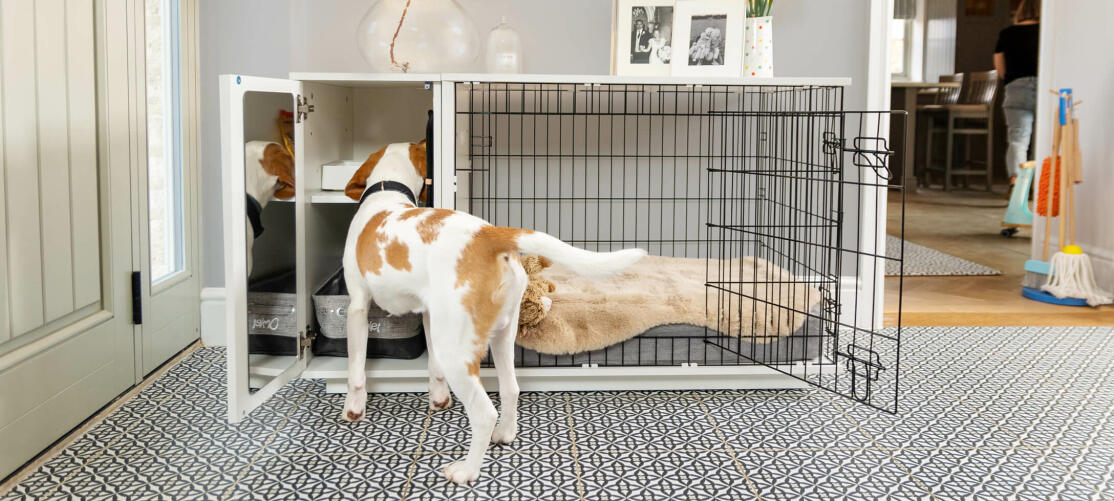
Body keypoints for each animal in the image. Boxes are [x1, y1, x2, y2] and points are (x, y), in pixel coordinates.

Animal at [338, 139, 646, 480]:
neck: (386, 191)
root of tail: (487, 234)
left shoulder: (357, 307)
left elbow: (356, 368)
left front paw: (353, 408)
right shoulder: (430, 314)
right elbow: (433, 368)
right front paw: (438, 398)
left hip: (456, 353)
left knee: (484, 413)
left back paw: (466, 471)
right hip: (498, 336)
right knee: (511, 389)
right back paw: (505, 434)